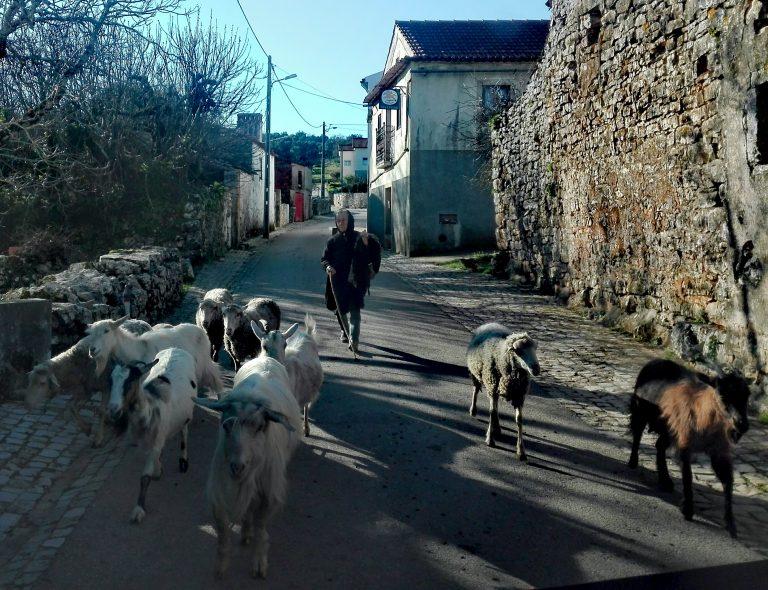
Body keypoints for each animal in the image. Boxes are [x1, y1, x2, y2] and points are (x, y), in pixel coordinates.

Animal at [85, 314, 222, 398]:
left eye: (106, 331)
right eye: (90, 333)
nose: (92, 350)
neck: (138, 349)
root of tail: (199, 329)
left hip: (205, 362)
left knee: (215, 377)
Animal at [108, 350, 198, 524]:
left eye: (131, 381)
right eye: (111, 381)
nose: (113, 410)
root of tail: (176, 348)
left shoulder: (155, 443)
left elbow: (145, 478)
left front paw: (139, 510)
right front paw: (158, 469)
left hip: (187, 414)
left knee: (184, 431)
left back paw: (183, 461)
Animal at [194, 356, 298, 584]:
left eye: (260, 427)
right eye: (226, 426)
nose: (237, 466)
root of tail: (264, 357)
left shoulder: (268, 492)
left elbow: (261, 528)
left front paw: (259, 564)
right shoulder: (220, 491)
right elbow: (223, 532)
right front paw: (220, 567)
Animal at [464, 324, 544, 458]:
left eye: (534, 349)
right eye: (518, 351)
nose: (536, 369)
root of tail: (490, 323)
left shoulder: (519, 395)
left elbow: (519, 419)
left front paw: (521, 451)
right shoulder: (492, 386)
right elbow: (491, 412)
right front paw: (490, 439)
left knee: (495, 406)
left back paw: (497, 427)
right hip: (477, 375)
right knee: (476, 390)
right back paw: (473, 410)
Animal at [624, 358, 752, 540]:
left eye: (747, 395)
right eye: (722, 395)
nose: (742, 425)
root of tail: (656, 361)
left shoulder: (719, 451)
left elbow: (728, 481)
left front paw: (731, 525)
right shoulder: (685, 444)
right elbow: (687, 476)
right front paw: (688, 510)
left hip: (669, 429)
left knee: (659, 446)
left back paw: (665, 481)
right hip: (640, 411)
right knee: (637, 434)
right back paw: (633, 462)